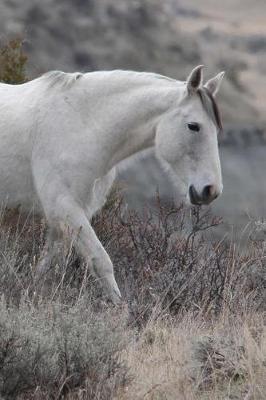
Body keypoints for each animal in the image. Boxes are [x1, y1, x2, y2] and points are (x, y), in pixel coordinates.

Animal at [0, 65, 224, 304]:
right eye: (193, 126)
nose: (211, 190)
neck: (80, 124)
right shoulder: (64, 207)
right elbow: (101, 261)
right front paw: (119, 309)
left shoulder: (68, 216)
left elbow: (47, 265)